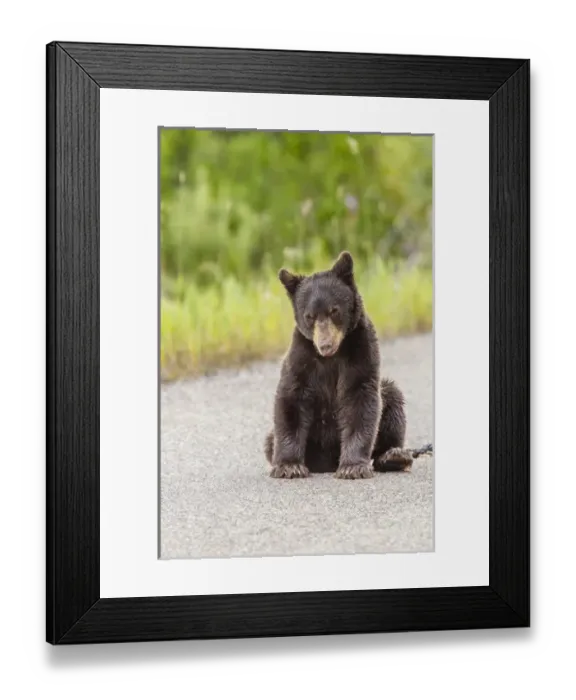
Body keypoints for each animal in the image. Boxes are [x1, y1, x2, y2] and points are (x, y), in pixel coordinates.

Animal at [264, 250, 417, 479]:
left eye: (334, 310)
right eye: (309, 316)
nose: (325, 345)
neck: (331, 357)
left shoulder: (360, 352)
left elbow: (360, 400)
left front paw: (352, 467)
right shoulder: (302, 358)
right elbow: (291, 399)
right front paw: (289, 466)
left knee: (392, 402)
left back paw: (394, 456)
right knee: (269, 441)